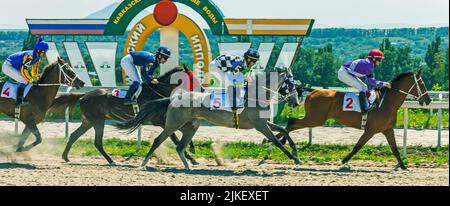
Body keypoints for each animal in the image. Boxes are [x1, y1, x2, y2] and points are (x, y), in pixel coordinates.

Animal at [48, 67, 200, 164]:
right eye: (193, 79)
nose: (202, 89)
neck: (158, 91)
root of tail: (84, 95)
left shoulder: (167, 121)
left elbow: (183, 131)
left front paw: (192, 149)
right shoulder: (161, 121)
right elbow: (175, 138)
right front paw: (191, 158)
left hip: (88, 121)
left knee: (74, 135)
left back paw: (65, 157)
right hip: (98, 121)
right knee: (97, 142)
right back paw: (111, 160)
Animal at [280, 70, 430, 170]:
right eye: (422, 83)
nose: (428, 100)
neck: (387, 102)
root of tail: (313, 92)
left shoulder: (388, 130)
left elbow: (395, 149)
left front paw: (403, 166)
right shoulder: (370, 130)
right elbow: (358, 146)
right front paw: (344, 161)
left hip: (314, 118)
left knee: (291, 123)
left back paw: (278, 140)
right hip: (315, 119)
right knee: (292, 122)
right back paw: (282, 142)